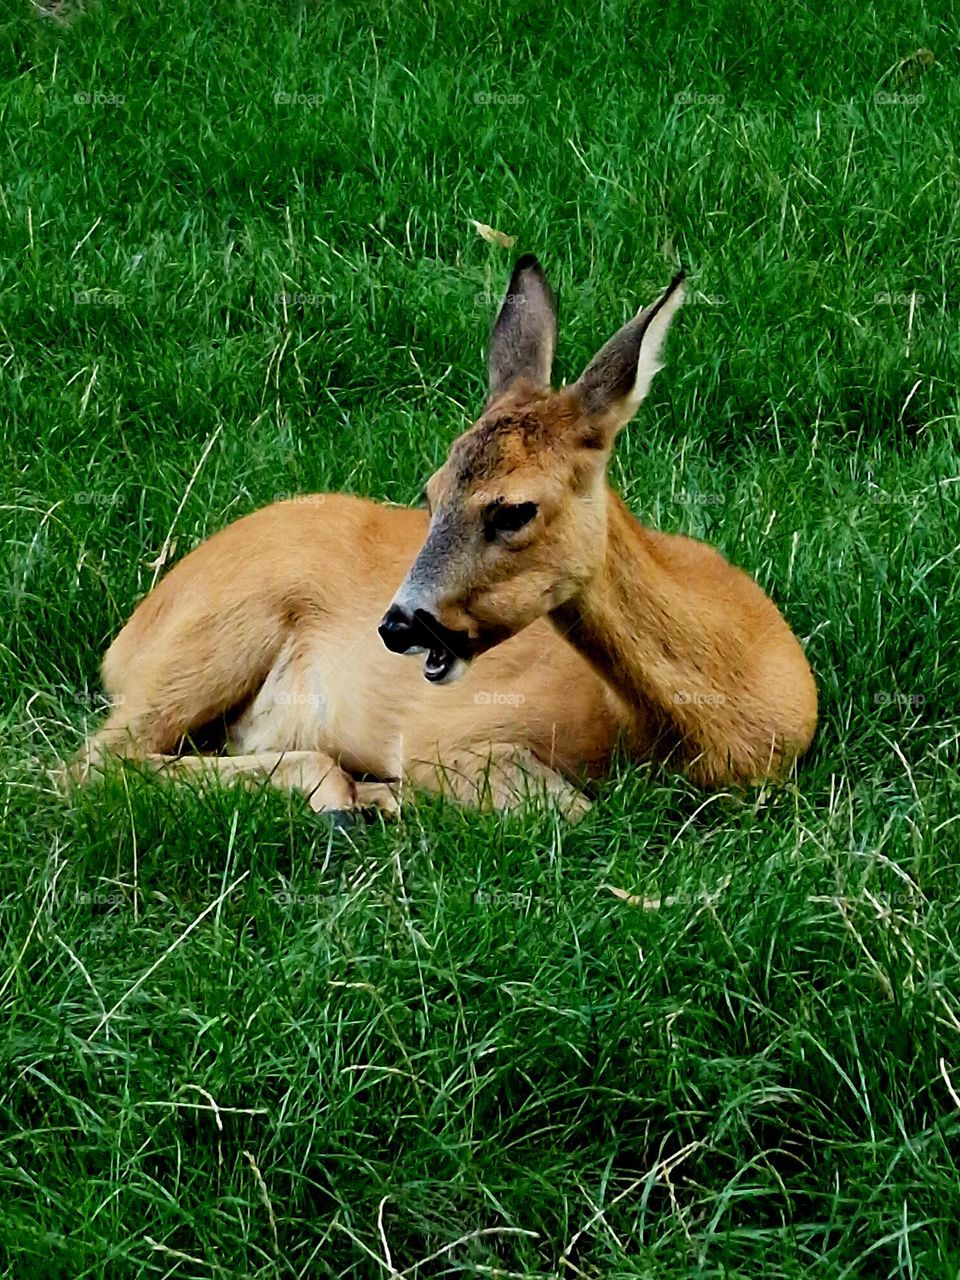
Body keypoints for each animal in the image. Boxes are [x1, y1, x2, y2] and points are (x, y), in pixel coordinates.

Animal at [69, 254, 819, 819]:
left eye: (513, 510)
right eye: (429, 494)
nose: (399, 624)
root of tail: (128, 634)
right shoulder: (445, 735)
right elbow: (566, 808)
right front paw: (388, 794)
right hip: (213, 636)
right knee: (87, 764)